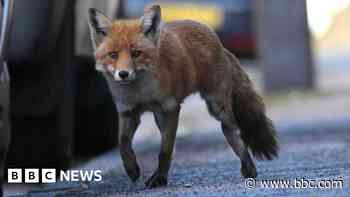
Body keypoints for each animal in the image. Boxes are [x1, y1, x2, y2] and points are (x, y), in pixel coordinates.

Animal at [88, 4, 278, 188]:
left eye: (136, 53)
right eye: (113, 55)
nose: (123, 74)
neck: (141, 93)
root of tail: (218, 41)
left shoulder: (170, 109)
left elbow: (164, 150)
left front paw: (160, 179)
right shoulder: (128, 112)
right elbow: (123, 144)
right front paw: (132, 169)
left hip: (216, 106)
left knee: (234, 131)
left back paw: (248, 167)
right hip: (162, 117)